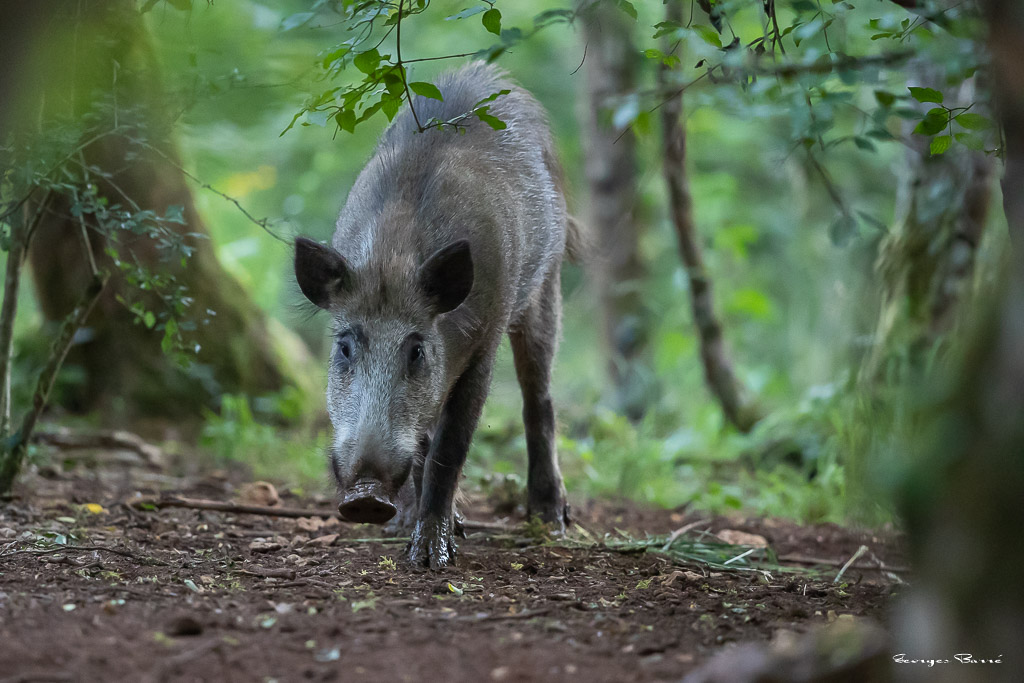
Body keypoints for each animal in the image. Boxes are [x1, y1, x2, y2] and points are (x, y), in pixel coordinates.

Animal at [294, 62, 580, 568]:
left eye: (416, 352)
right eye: (344, 347)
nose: (366, 498)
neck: (392, 258)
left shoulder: (485, 341)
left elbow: (452, 445)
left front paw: (430, 558)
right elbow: (426, 444)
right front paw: (416, 532)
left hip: (545, 287)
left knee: (538, 398)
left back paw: (551, 521)